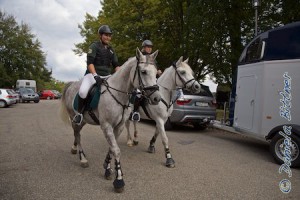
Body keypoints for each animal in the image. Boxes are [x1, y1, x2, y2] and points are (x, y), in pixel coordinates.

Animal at [59, 48, 161, 192]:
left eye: (156, 71)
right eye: (144, 72)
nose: (157, 98)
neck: (119, 94)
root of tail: (72, 84)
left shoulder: (119, 126)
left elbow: (112, 148)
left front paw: (107, 168)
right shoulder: (106, 125)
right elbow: (116, 150)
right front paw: (119, 180)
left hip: (83, 120)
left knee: (76, 134)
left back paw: (75, 150)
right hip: (75, 118)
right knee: (77, 135)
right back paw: (83, 159)